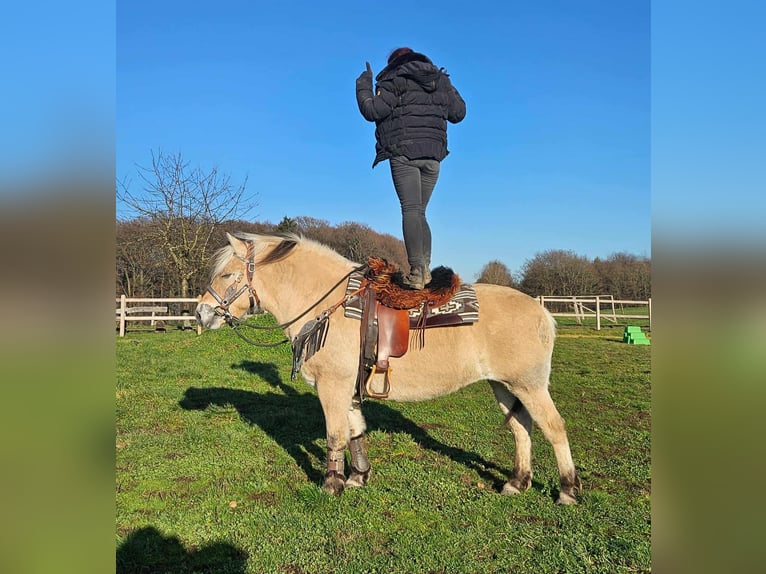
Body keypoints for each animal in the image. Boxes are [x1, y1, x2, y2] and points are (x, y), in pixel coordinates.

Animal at [195, 232, 581, 504]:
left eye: (227, 274)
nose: (201, 313)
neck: (329, 305)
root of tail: (542, 310)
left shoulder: (332, 386)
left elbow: (335, 435)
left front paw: (331, 485)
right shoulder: (348, 388)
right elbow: (355, 431)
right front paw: (357, 477)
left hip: (529, 385)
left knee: (554, 428)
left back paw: (567, 490)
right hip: (504, 385)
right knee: (521, 428)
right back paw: (517, 482)